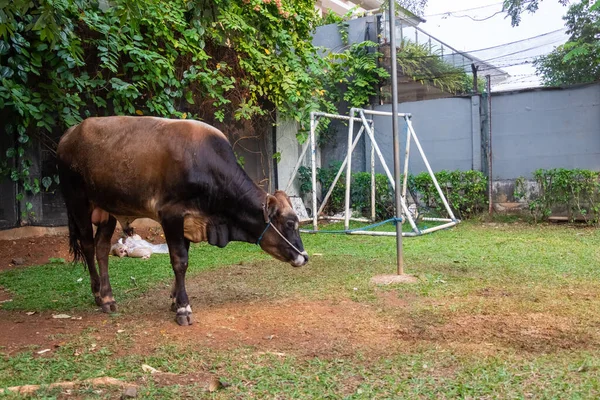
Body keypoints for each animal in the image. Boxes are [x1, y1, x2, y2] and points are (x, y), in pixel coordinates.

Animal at [57, 115, 310, 324]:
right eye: (290, 224)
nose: (305, 257)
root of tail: (69, 134)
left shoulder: (188, 223)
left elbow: (184, 260)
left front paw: (174, 299)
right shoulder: (171, 215)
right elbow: (180, 261)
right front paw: (183, 308)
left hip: (107, 210)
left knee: (101, 248)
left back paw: (108, 296)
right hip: (78, 203)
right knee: (88, 246)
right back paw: (99, 294)